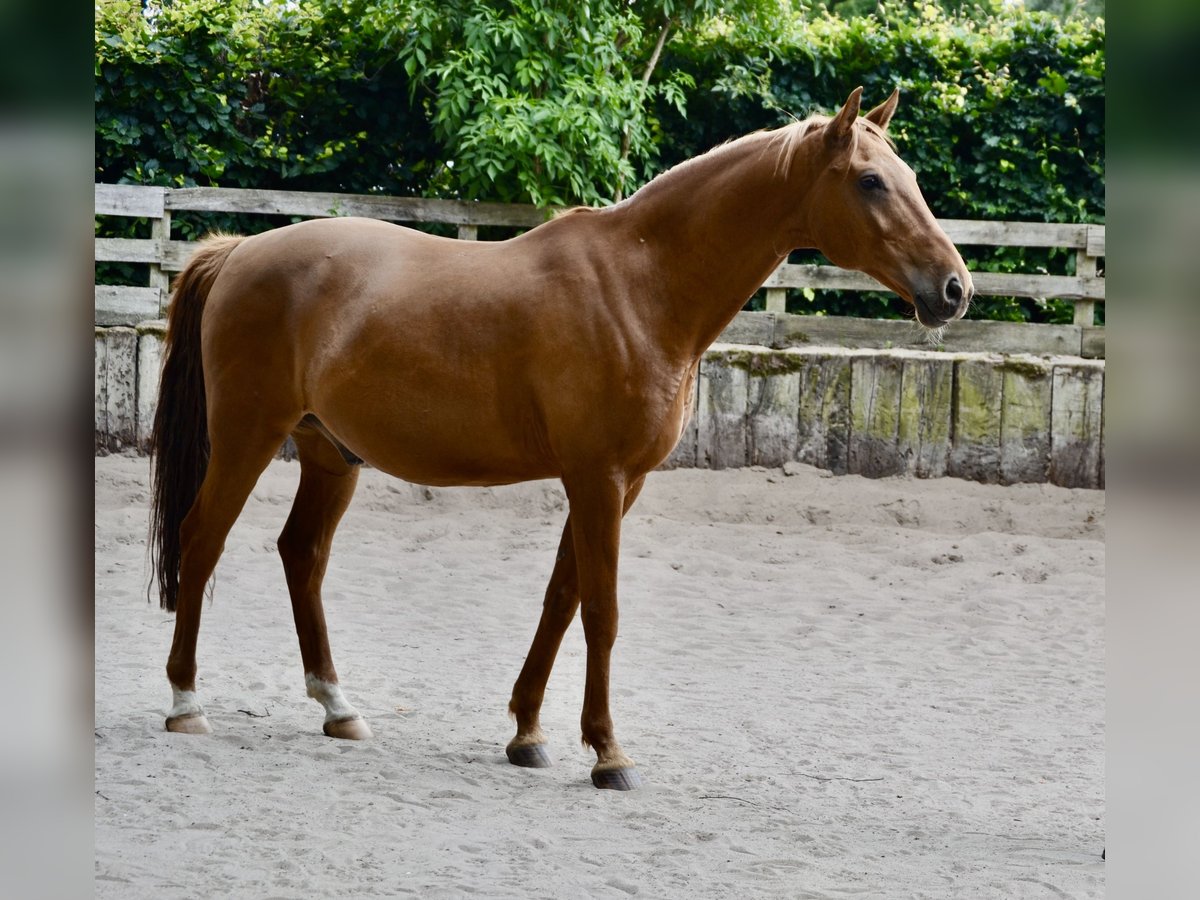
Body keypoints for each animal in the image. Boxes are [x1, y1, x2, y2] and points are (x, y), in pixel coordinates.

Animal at [152, 90, 974, 787]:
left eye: (907, 177)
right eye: (870, 182)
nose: (955, 289)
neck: (639, 288)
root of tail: (239, 252)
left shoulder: (618, 482)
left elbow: (562, 597)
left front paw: (527, 734)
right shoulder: (597, 476)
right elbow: (602, 612)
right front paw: (609, 752)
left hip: (330, 455)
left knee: (303, 555)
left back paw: (338, 707)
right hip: (247, 437)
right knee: (202, 538)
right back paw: (186, 703)